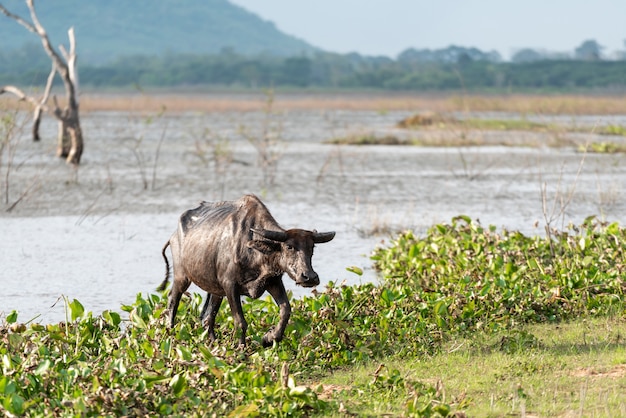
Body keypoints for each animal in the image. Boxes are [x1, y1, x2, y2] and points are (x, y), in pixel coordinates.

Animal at [157, 194, 332, 348]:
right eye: (289, 246)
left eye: (312, 247)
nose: (309, 277)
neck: (253, 250)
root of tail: (174, 236)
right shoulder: (230, 286)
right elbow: (240, 321)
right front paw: (241, 348)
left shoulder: (273, 281)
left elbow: (286, 311)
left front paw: (269, 338)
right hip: (182, 277)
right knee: (172, 301)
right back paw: (170, 334)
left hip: (215, 290)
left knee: (207, 318)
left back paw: (213, 343)